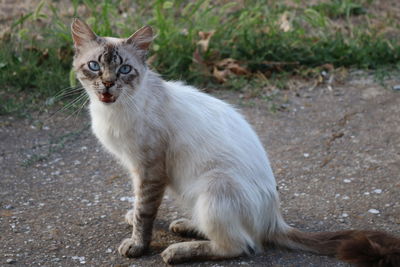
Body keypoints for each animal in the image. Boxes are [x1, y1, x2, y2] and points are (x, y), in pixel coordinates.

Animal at [71, 17, 400, 266]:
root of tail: (275, 218)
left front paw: (137, 245)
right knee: (233, 235)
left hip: (214, 186)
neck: (110, 112)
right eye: (95, 67)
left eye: (124, 69)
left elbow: (145, 212)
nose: (108, 84)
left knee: (241, 245)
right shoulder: (135, 168)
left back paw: (177, 251)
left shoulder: (150, 168)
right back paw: (185, 226)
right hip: (197, 194)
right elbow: (137, 203)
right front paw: (133, 221)